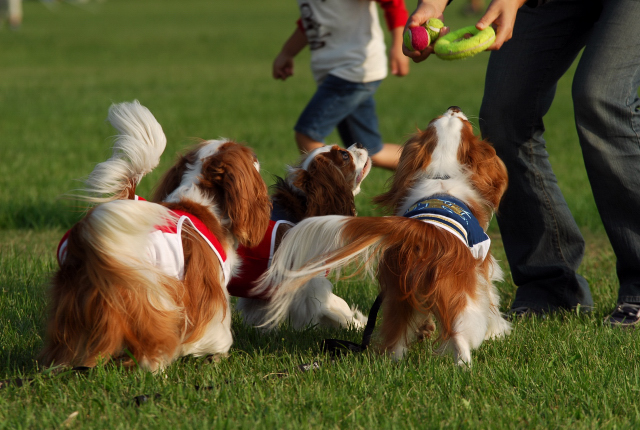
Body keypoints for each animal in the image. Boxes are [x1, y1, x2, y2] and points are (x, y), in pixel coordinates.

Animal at [40, 101, 270, 372]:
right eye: (251, 158)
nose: (259, 158)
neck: (201, 205)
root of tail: (85, 241)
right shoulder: (209, 288)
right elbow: (216, 329)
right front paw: (216, 353)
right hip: (148, 294)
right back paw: (156, 363)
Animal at [258, 107, 512, 366]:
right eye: (465, 124)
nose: (454, 108)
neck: (442, 174)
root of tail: (421, 233)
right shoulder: (481, 264)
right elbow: (491, 300)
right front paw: (497, 332)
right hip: (456, 299)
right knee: (458, 334)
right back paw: (464, 364)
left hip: (399, 297)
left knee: (395, 338)